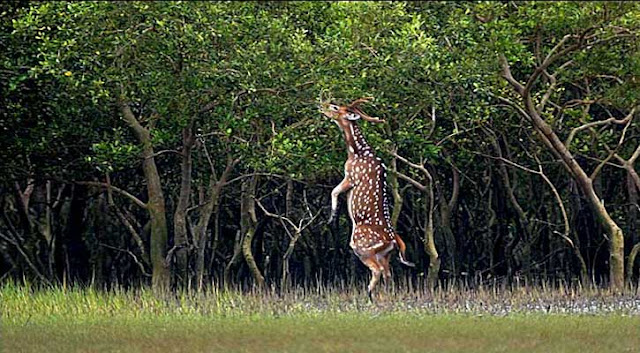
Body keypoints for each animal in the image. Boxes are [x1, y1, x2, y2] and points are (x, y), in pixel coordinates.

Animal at [320, 97, 416, 302]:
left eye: (335, 107)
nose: (321, 105)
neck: (356, 152)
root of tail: (394, 242)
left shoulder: (351, 176)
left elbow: (334, 191)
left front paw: (331, 217)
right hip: (385, 255)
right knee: (388, 273)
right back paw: (383, 296)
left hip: (361, 246)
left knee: (378, 271)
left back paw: (370, 294)